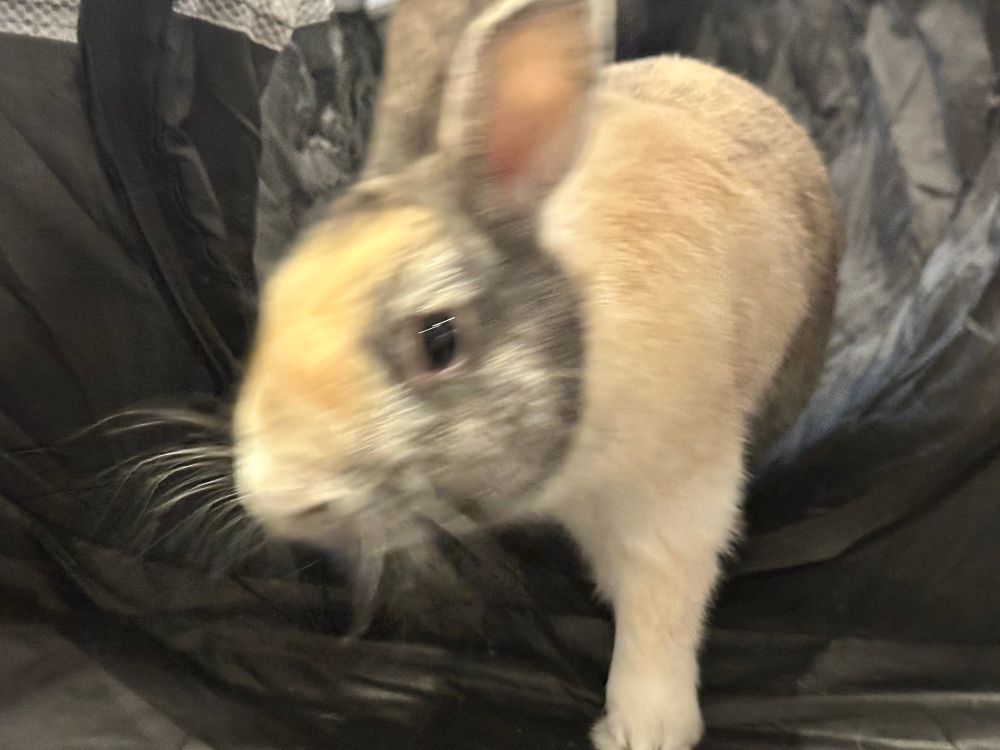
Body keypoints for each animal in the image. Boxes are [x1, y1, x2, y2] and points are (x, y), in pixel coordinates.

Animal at [233, 0, 840, 748]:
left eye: (439, 340)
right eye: (278, 296)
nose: (280, 495)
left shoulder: (678, 499)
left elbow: (661, 605)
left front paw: (645, 729)